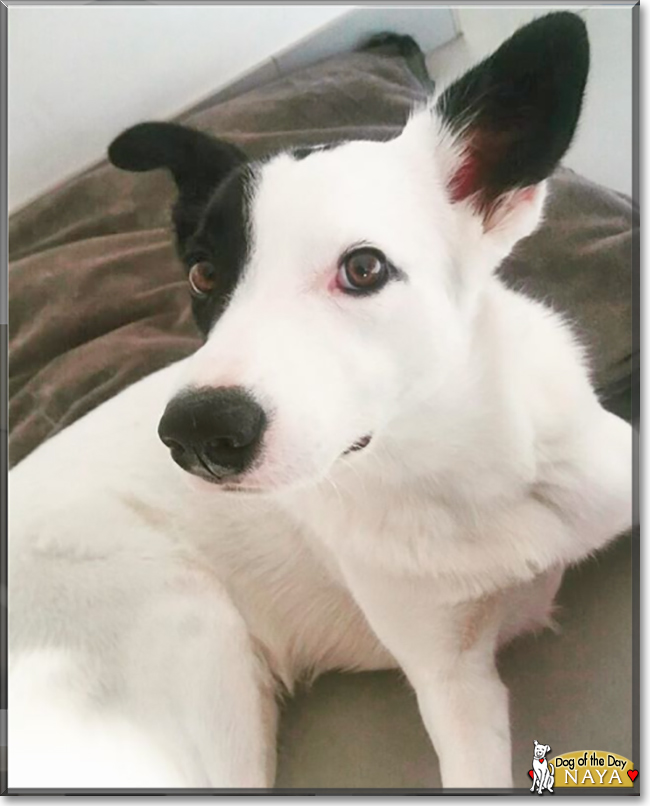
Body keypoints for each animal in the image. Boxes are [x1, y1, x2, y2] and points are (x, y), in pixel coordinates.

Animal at [7, 11, 632, 796]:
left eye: (363, 268)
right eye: (203, 274)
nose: (196, 434)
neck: (460, 473)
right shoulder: (452, 683)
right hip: (194, 637)